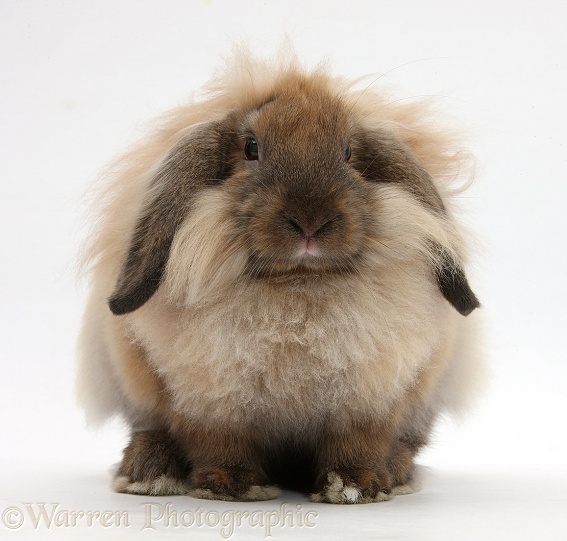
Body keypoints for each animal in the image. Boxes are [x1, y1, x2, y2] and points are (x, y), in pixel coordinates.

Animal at [76, 52, 484, 504]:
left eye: (348, 152)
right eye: (251, 148)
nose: (310, 222)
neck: (296, 286)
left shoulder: (370, 402)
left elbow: (358, 444)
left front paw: (355, 485)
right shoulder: (210, 404)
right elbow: (221, 445)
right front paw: (232, 485)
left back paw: (396, 472)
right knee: (150, 432)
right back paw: (149, 472)